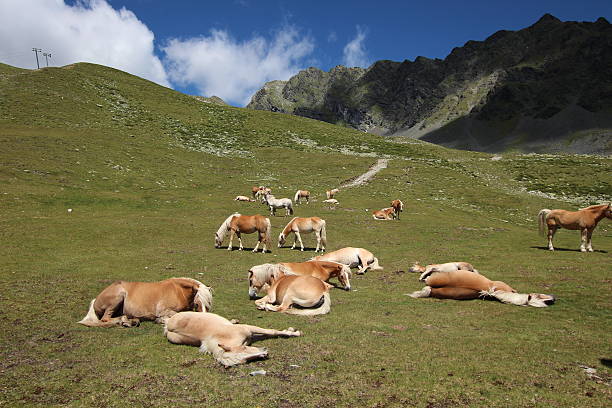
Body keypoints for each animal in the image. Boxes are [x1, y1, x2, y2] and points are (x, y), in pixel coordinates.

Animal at [77, 278, 214, 328]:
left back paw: (131, 321)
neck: (178, 291)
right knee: (105, 319)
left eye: (208, 304)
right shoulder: (164, 310)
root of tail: (96, 299)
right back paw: (125, 321)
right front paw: (160, 320)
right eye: (197, 304)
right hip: (118, 297)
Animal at [164, 312, 300, 366]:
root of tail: (167, 324)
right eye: (244, 361)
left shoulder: (248, 329)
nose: (265, 354)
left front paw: (295, 332)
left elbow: (271, 331)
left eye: (244, 347)